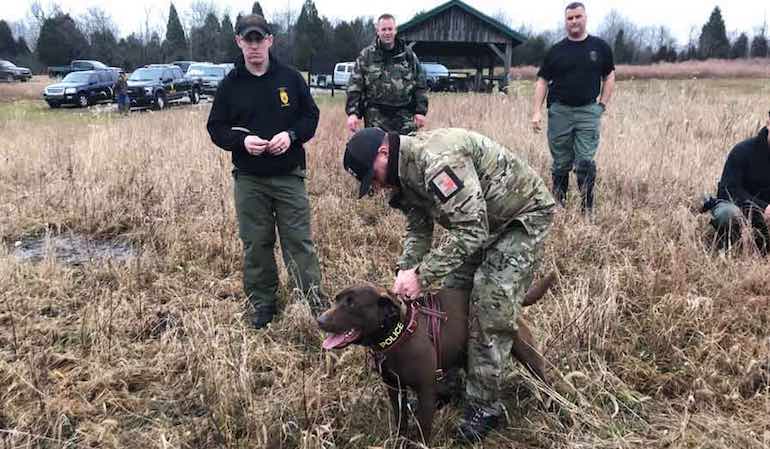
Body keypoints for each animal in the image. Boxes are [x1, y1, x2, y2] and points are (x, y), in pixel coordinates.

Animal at [316, 272, 556, 444]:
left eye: (352, 304)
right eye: (337, 300)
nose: (320, 320)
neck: (398, 335)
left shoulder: (425, 390)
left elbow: (424, 426)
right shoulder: (394, 387)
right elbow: (400, 419)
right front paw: (400, 440)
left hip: (526, 353)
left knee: (542, 378)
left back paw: (551, 405)